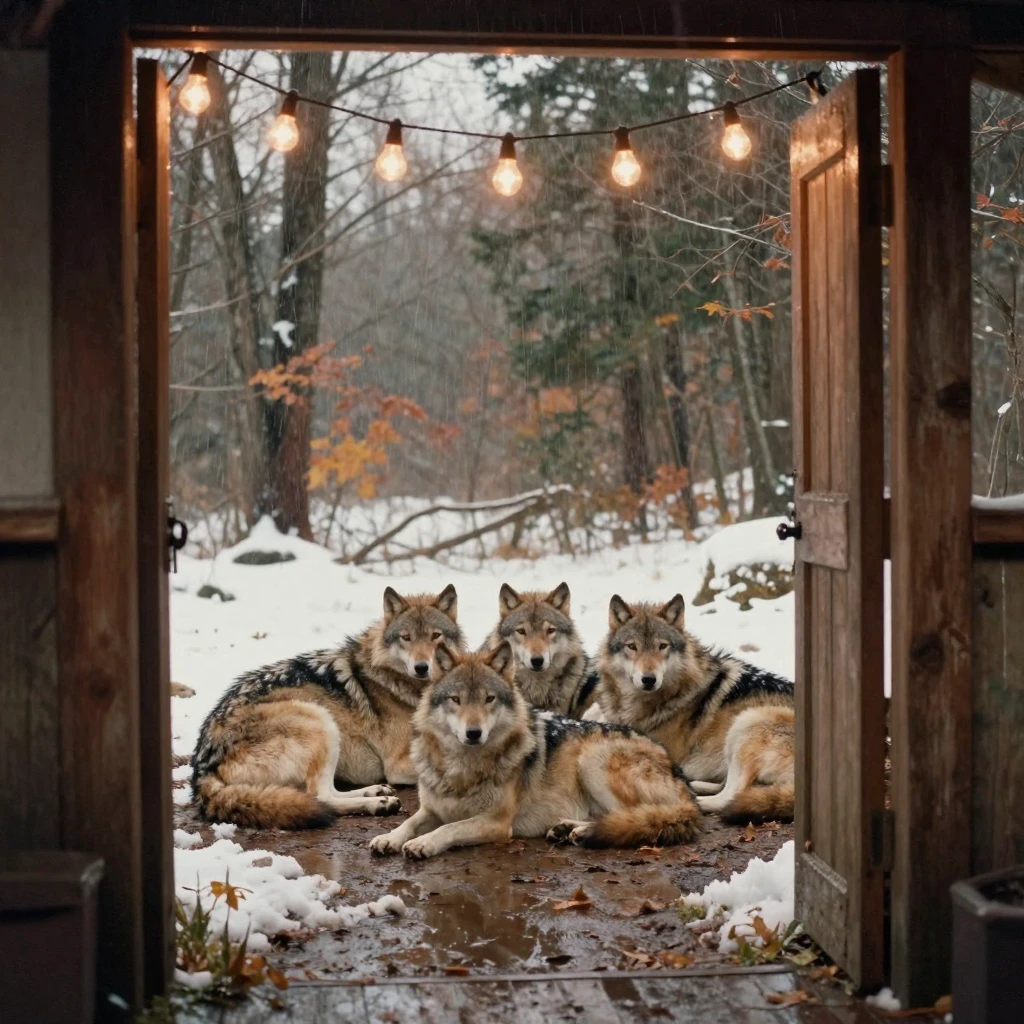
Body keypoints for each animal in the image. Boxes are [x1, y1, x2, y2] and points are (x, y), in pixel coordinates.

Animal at [191, 585, 465, 829]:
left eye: (436, 636)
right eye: (406, 638)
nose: (422, 667)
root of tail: (202, 770)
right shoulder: (396, 764)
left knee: (329, 791)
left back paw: (375, 792)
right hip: (319, 720)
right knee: (319, 797)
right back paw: (378, 804)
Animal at [367, 642, 702, 859]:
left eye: (489, 699)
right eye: (456, 700)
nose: (473, 733)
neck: (462, 768)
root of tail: (683, 780)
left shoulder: (496, 823)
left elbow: (450, 828)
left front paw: (423, 844)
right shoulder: (431, 809)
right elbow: (408, 822)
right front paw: (388, 838)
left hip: (593, 761)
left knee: (637, 817)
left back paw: (580, 833)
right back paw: (566, 829)